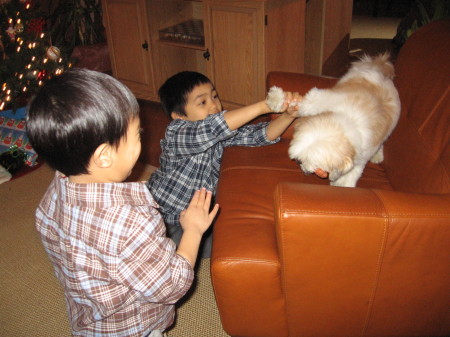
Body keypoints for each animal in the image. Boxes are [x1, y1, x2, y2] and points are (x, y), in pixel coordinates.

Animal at [266, 53, 400, 188]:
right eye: (300, 159)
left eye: (314, 166)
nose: (300, 165)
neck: (347, 120)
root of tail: (379, 68)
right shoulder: (321, 101)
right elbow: (302, 104)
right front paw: (276, 99)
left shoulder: (361, 155)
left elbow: (352, 173)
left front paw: (341, 184)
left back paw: (378, 156)